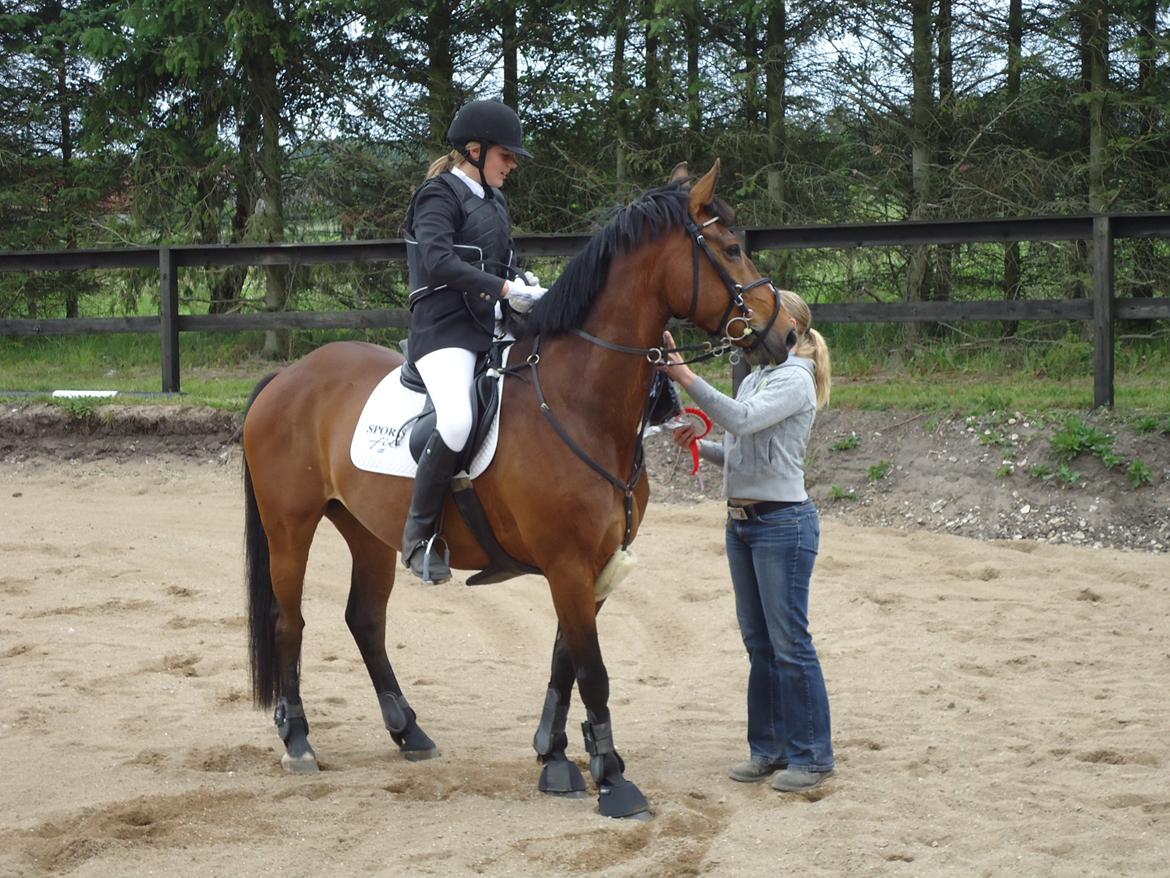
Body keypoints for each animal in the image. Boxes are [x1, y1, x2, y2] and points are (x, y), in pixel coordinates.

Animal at [243, 161, 795, 824]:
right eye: (731, 248)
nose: (788, 332)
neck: (580, 401)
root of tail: (289, 376)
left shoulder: (594, 564)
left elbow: (565, 661)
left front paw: (555, 757)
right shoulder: (567, 563)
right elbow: (593, 670)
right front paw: (614, 780)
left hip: (367, 530)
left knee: (365, 620)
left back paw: (409, 732)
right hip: (290, 527)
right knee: (291, 621)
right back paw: (298, 741)